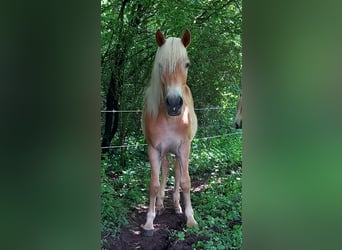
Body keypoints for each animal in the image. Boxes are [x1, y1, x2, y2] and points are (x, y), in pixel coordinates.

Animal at [141, 28, 198, 236]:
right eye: (160, 65)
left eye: (187, 64)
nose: (174, 104)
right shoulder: (154, 149)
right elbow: (154, 184)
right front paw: (149, 221)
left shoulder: (184, 147)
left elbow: (186, 181)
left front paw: (190, 218)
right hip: (165, 151)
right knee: (166, 170)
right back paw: (160, 204)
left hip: (178, 151)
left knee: (177, 171)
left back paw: (176, 205)